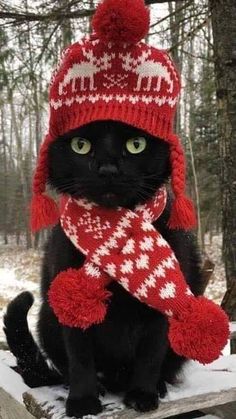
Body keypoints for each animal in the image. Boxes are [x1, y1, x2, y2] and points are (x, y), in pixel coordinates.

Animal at [3, 120, 203, 418]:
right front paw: (83, 400)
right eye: (81, 145)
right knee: (67, 368)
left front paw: (142, 394)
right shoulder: (71, 300)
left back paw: (157, 387)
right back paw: (93, 386)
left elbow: (150, 355)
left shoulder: (163, 304)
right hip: (47, 319)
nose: (108, 169)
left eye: (136, 144)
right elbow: (80, 356)